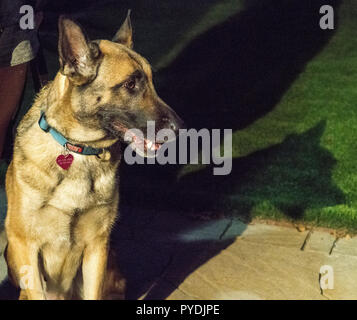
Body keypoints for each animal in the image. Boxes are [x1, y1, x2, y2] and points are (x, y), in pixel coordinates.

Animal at [4, 10, 184, 300]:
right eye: (130, 84)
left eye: (151, 82)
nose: (180, 127)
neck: (77, 149)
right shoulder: (24, 245)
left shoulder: (97, 247)